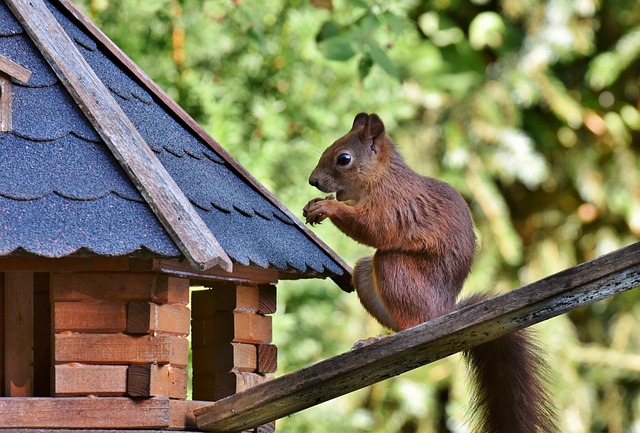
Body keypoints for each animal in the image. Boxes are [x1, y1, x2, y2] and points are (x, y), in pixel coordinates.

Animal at [303, 113, 556, 433]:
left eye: (343, 158)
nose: (312, 181)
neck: (382, 177)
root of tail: (442, 311)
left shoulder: (394, 204)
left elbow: (374, 228)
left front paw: (326, 207)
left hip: (396, 270)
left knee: (413, 320)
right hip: (366, 273)